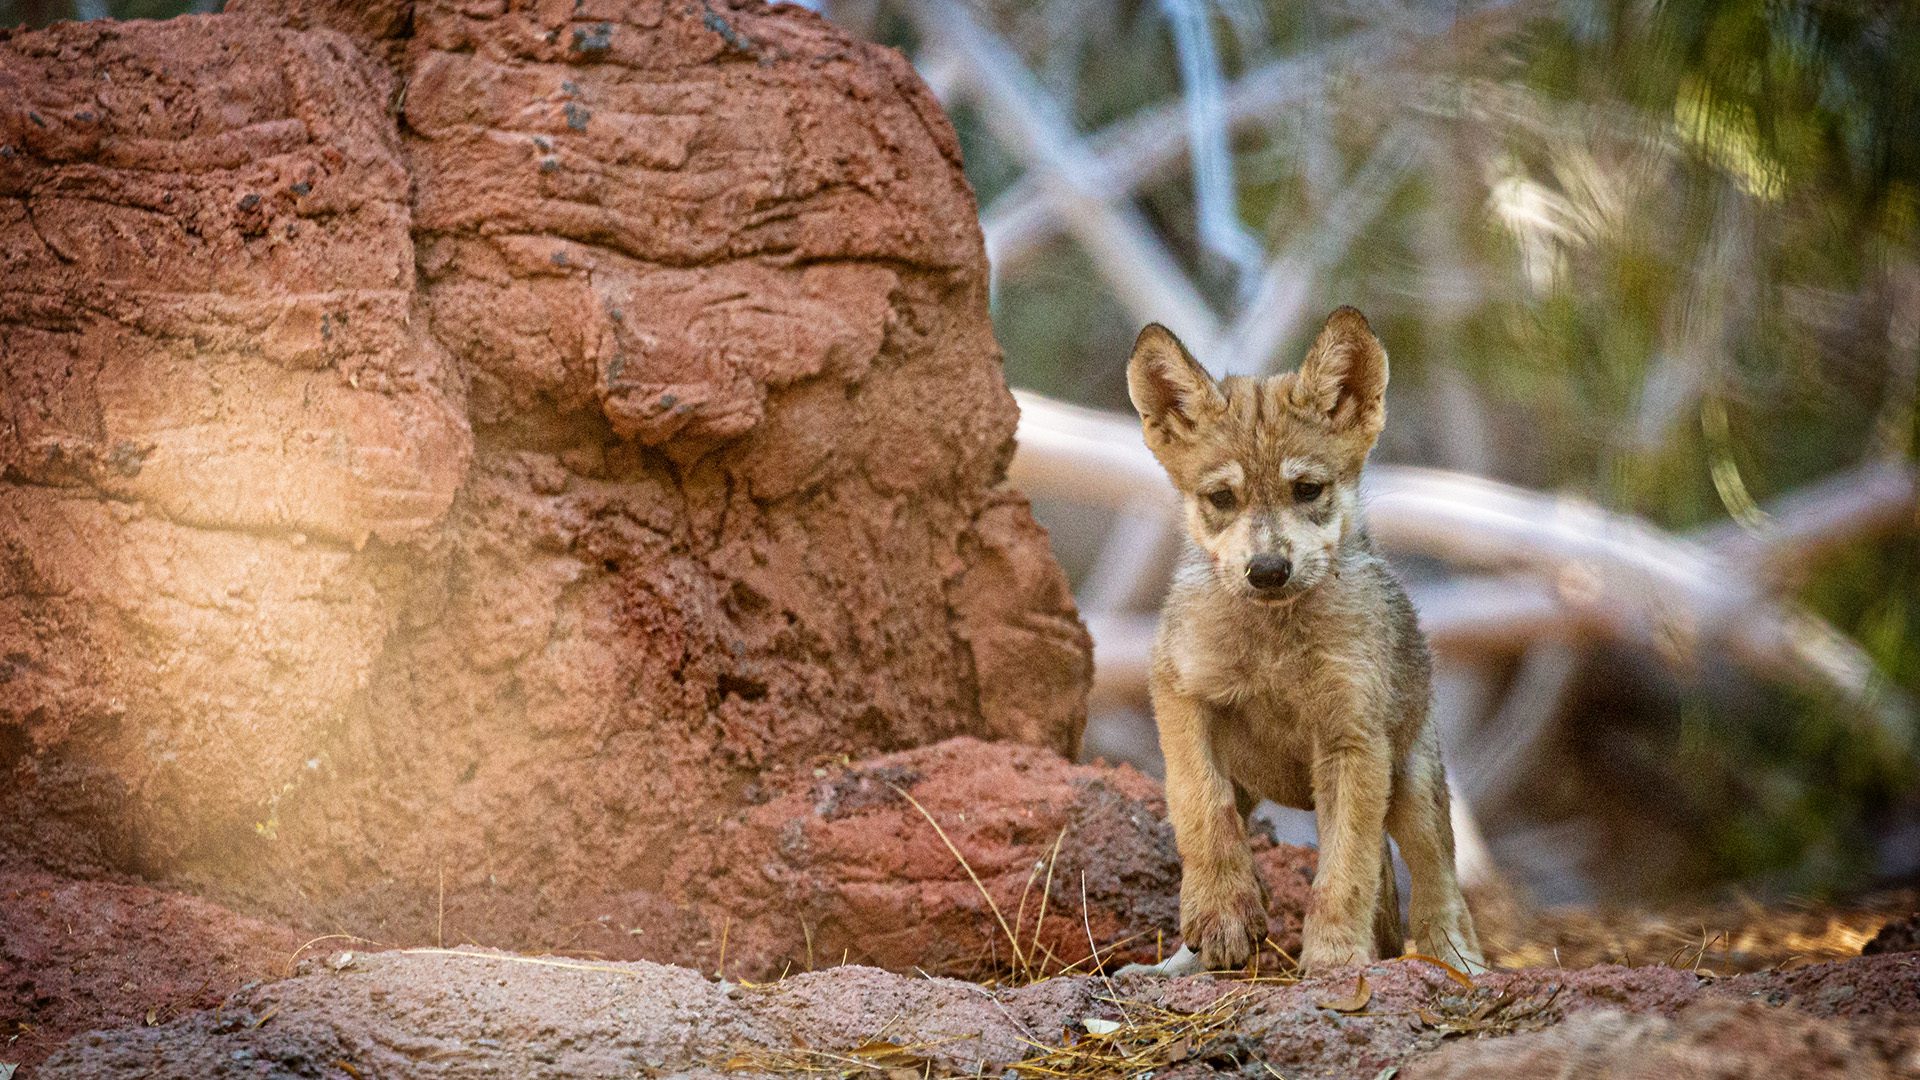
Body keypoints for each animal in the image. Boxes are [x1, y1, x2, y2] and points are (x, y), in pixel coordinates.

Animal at [1121, 307, 1484, 976]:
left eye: (1307, 490)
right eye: (1221, 498)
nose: (1267, 570)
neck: (1274, 649)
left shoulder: (1351, 741)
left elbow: (1344, 875)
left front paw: (1336, 961)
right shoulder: (1181, 698)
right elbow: (1202, 816)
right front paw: (1222, 918)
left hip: (1412, 786)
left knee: (1438, 883)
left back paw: (1459, 964)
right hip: (1255, 786)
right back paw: (1177, 964)